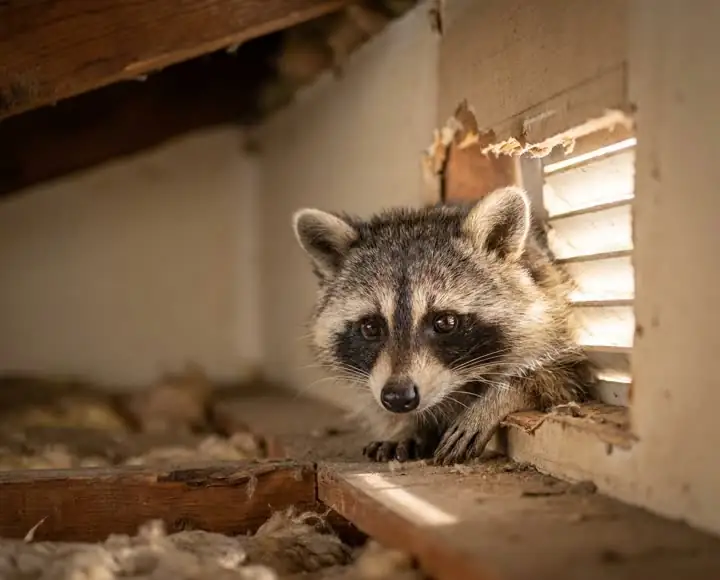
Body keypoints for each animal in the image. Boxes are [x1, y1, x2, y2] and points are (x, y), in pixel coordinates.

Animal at [292, 186, 593, 465]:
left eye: (445, 322)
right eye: (370, 328)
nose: (398, 397)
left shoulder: (554, 313)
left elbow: (557, 375)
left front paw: (496, 400)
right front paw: (404, 426)